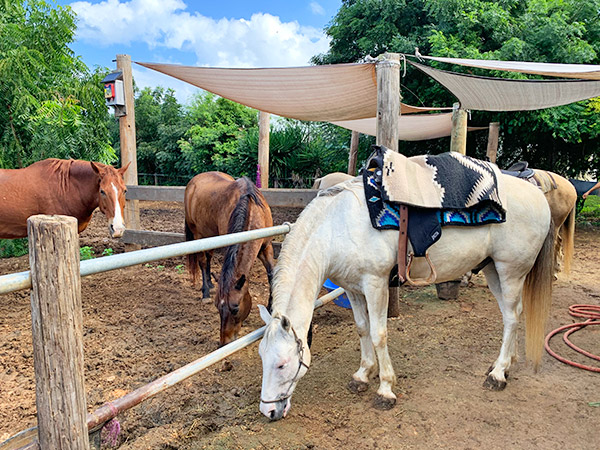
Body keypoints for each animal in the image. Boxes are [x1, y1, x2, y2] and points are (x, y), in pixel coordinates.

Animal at [184, 171, 276, 344]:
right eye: (217, 307)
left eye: (235, 308)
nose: (224, 342)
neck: (251, 208)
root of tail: (194, 181)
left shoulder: (266, 248)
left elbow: (272, 275)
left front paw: (271, 307)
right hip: (198, 235)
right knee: (202, 261)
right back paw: (205, 292)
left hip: (211, 235)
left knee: (208, 258)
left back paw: (211, 284)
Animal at [258, 174, 552, 420]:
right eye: (262, 357)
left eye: (282, 365)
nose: (269, 411)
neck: (336, 227)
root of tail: (537, 194)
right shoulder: (353, 288)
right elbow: (362, 329)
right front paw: (363, 375)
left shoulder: (375, 284)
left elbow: (378, 335)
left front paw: (385, 389)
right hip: (493, 269)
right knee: (511, 314)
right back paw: (506, 364)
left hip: (510, 271)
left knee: (511, 317)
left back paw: (498, 374)